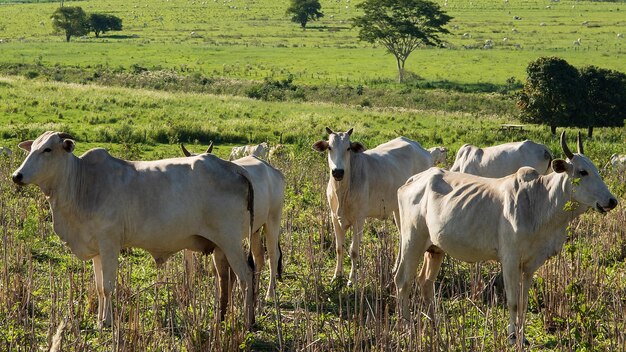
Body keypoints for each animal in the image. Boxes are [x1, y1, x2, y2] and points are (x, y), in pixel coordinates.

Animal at [12, 131, 256, 328]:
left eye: (47, 149)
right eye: (31, 149)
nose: (17, 176)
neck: (83, 183)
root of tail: (234, 168)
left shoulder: (110, 244)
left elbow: (108, 287)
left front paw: (107, 323)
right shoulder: (97, 249)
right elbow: (99, 287)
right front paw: (100, 320)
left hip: (230, 241)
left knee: (245, 276)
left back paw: (245, 322)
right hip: (221, 247)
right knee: (228, 279)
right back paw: (228, 318)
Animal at [310, 128, 432, 284]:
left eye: (348, 148)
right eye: (329, 147)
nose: (338, 171)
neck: (342, 191)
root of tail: (423, 150)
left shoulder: (359, 219)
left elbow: (353, 251)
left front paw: (352, 279)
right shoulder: (334, 217)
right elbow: (339, 248)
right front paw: (337, 276)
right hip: (398, 210)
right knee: (402, 236)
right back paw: (394, 268)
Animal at [392, 132, 616, 344]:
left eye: (596, 170)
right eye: (582, 171)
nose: (612, 201)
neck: (541, 201)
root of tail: (411, 181)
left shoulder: (529, 265)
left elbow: (524, 302)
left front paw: (522, 336)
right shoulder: (509, 260)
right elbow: (513, 302)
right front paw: (512, 336)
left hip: (435, 248)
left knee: (425, 281)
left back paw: (434, 323)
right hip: (412, 240)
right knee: (403, 280)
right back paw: (406, 326)